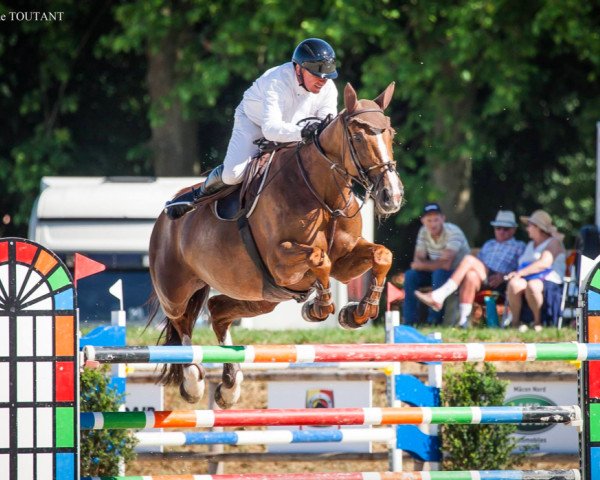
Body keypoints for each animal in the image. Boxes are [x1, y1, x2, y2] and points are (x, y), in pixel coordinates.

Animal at [149, 81, 404, 404]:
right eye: (358, 136)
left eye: (390, 133)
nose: (392, 196)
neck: (322, 196)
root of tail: (162, 221)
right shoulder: (280, 262)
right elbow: (320, 258)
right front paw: (319, 307)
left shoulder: (345, 263)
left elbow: (382, 255)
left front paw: (358, 312)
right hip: (176, 290)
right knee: (181, 325)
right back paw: (193, 382)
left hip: (261, 297)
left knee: (217, 310)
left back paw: (230, 385)